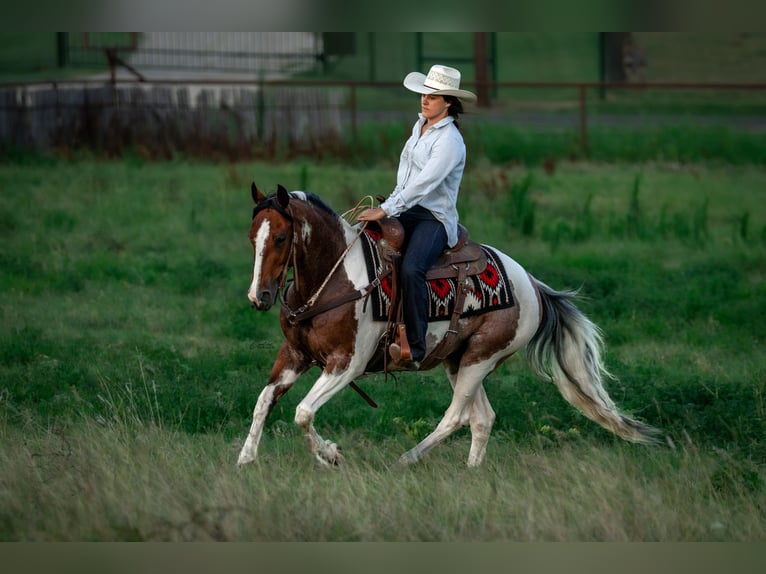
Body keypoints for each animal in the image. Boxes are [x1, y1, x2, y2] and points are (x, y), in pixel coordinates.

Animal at [238, 183, 660, 468]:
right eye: (251, 237)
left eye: (281, 237)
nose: (259, 296)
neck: (336, 279)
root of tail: (532, 285)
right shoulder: (295, 354)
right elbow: (264, 401)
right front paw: (246, 459)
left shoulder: (346, 364)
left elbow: (303, 412)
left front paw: (330, 455)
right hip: (459, 360)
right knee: (482, 418)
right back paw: (471, 471)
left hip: (480, 358)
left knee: (456, 416)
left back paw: (407, 459)